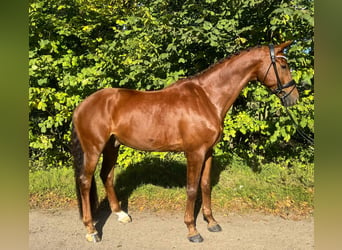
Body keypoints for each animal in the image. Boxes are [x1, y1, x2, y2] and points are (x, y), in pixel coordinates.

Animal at [71, 41, 298, 242]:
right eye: (283, 66)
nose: (293, 97)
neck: (207, 98)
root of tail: (82, 105)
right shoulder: (194, 152)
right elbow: (191, 188)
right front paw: (192, 230)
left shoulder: (208, 152)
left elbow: (205, 185)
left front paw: (211, 222)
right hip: (93, 149)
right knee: (85, 181)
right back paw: (92, 231)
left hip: (112, 146)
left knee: (106, 176)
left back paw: (120, 214)